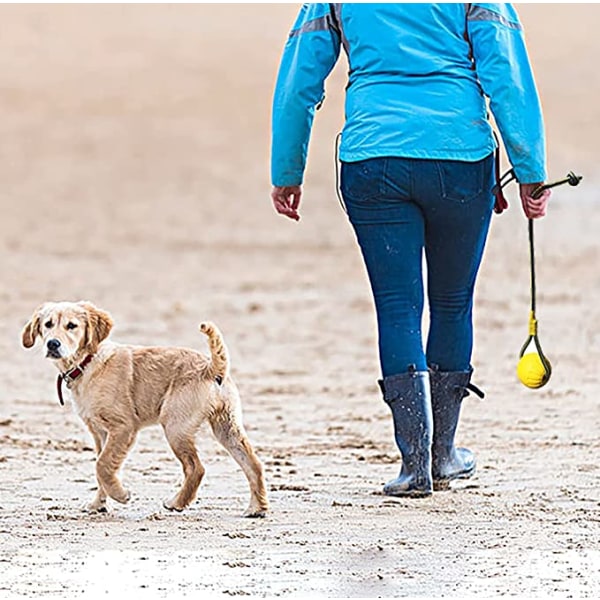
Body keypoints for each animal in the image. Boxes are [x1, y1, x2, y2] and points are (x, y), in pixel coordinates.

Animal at [21, 302, 268, 516]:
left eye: (71, 326)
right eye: (48, 324)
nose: (52, 344)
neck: (88, 362)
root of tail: (211, 367)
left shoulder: (123, 427)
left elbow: (102, 465)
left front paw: (121, 495)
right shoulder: (100, 432)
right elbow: (103, 466)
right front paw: (98, 504)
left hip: (175, 425)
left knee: (196, 468)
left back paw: (177, 503)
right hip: (226, 425)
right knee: (253, 463)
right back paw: (257, 508)